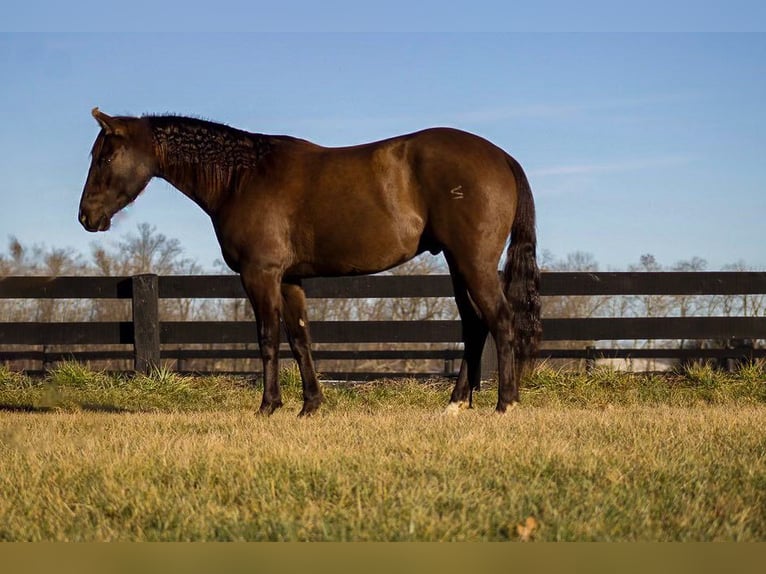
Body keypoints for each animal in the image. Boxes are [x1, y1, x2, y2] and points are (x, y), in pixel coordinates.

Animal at [79, 108, 540, 416]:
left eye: (104, 157)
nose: (86, 217)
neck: (243, 178)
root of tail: (501, 157)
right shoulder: (290, 279)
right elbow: (300, 338)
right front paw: (310, 405)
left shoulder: (260, 275)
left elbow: (267, 338)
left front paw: (268, 407)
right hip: (457, 265)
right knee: (475, 326)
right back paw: (456, 403)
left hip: (473, 263)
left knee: (500, 321)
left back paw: (506, 404)